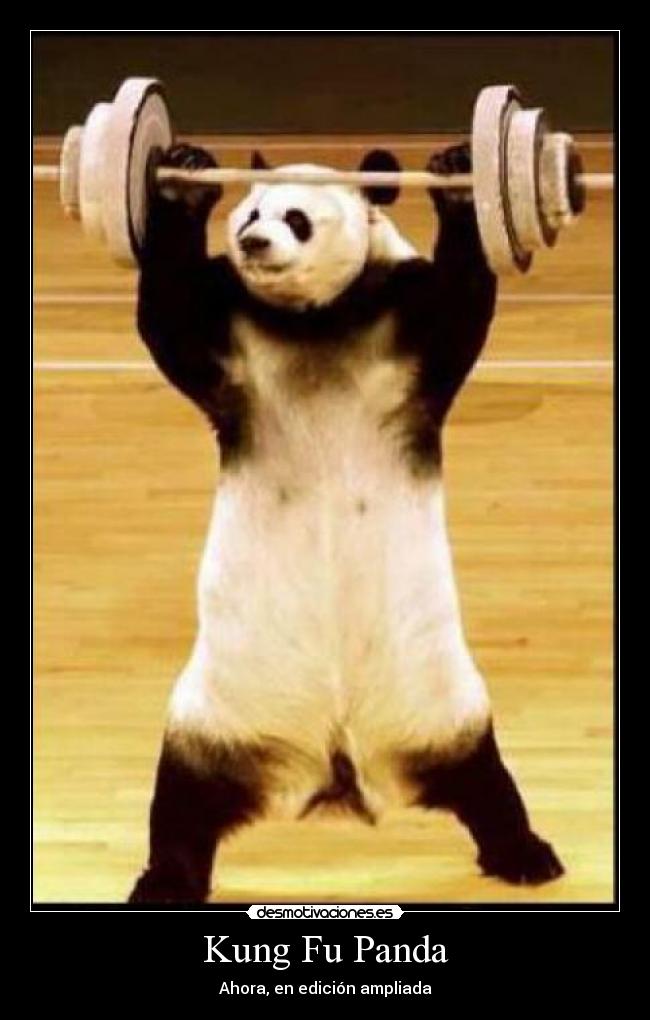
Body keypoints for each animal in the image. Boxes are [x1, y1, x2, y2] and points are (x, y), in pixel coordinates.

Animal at [128, 141, 564, 903]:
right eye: (249, 212)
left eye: (296, 218)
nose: (253, 243)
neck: (317, 320)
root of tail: (333, 771)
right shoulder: (232, 341)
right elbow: (171, 320)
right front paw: (182, 178)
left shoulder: (403, 330)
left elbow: (459, 310)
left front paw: (459, 178)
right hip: (213, 717)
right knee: (182, 801)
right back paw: (166, 881)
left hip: (445, 708)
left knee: (487, 783)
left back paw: (524, 853)